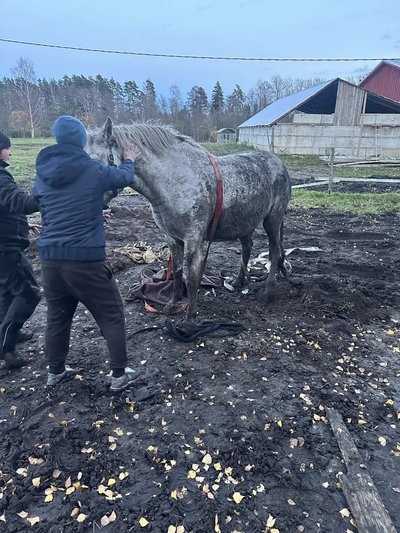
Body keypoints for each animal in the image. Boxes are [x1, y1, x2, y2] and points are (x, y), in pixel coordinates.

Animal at [87, 118, 290, 322]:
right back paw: (237, 282)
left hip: (272, 221)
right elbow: (177, 274)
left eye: (94, 163)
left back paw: (268, 292)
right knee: (247, 247)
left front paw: (190, 316)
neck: (175, 181)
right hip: (243, 223)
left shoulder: (193, 240)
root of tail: (280, 164)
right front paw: (173, 304)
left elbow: (192, 277)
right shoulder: (172, 239)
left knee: (274, 251)